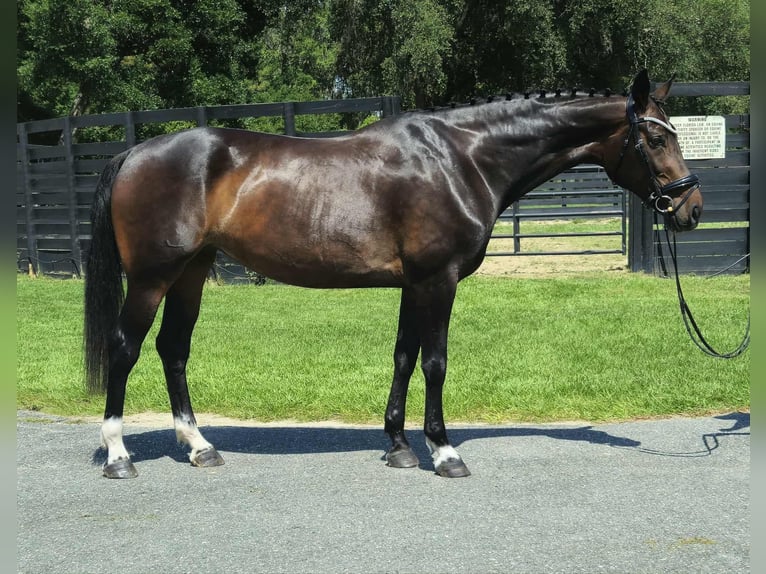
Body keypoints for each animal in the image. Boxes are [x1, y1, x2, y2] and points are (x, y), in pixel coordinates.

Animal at [84, 69, 702, 479]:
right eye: (655, 138)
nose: (690, 209)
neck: (462, 158)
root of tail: (135, 152)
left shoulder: (412, 283)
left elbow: (403, 356)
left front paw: (399, 445)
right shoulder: (437, 279)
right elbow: (435, 362)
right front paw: (444, 451)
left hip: (191, 272)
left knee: (173, 348)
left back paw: (198, 445)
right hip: (152, 277)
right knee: (124, 348)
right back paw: (118, 454)